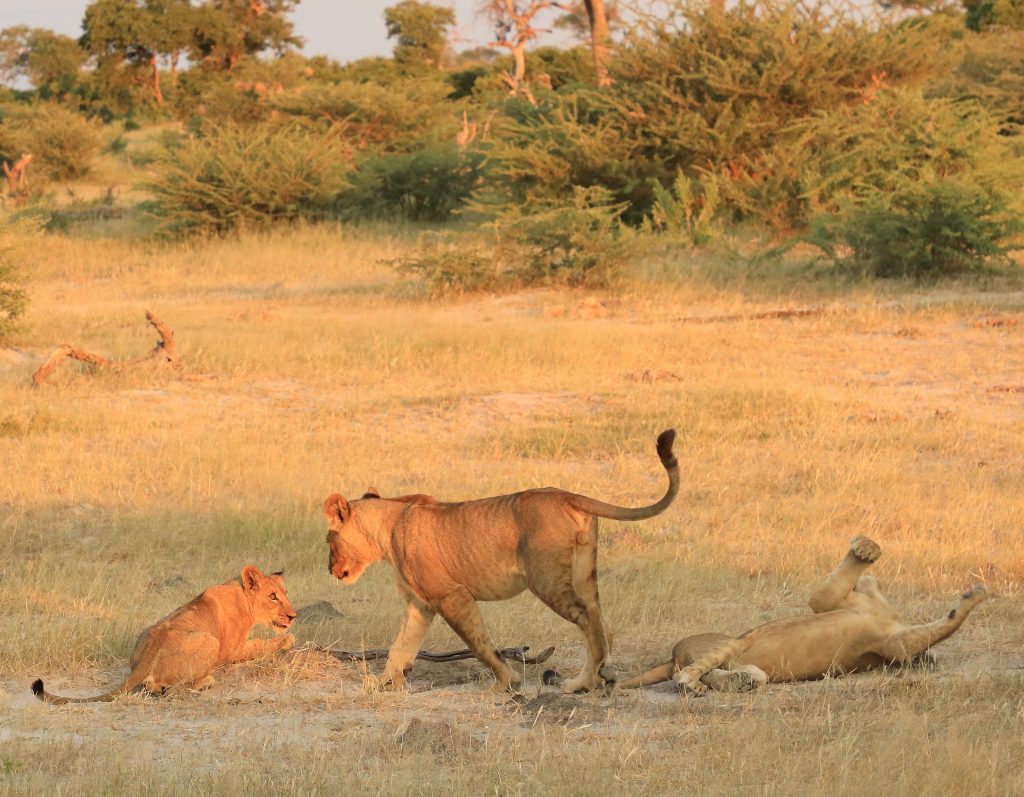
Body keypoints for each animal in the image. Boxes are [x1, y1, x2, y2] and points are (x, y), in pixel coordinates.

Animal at [32, 565, 294, 700]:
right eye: (273, 597)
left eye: (285, 593)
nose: (293, 616)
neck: (242, 596)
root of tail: (144, 659)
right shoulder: (231, 651)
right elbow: (261, 644)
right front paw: (288, 639)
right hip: (210, 640)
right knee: (173, 687)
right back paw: (205, 682)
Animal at [610, 536, 987, 692]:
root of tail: (673, 652)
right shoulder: (827, 601)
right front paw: (866, 551)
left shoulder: (892, 643)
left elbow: (942, 627)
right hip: (728, 644)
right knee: (687, 673)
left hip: (739, 657)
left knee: (707, 675)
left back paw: (735, 683)